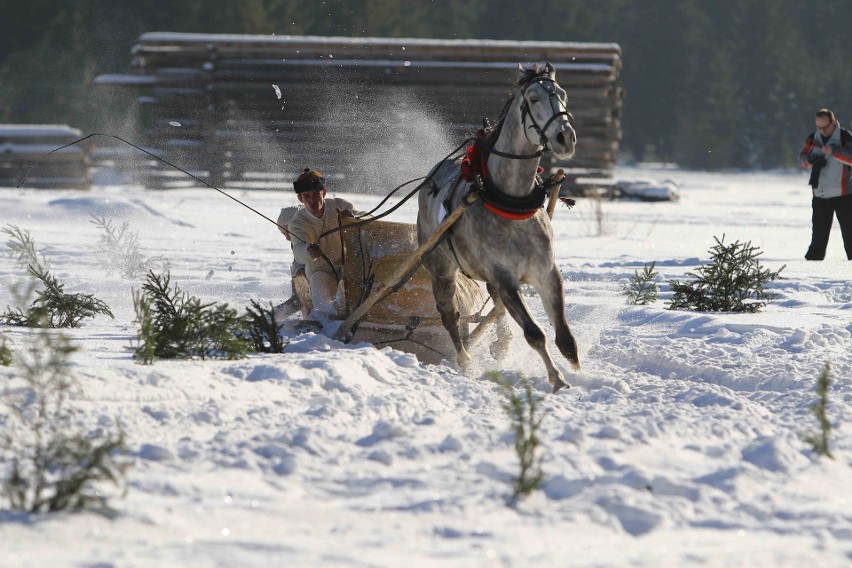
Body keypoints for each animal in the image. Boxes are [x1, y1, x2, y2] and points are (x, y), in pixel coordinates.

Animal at [418, 61, 580, 390]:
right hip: (440, 267)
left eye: (563, 95)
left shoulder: (546, 272)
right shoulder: (504, 276)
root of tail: (432, 175)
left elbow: (565, 338)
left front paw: (579, 372)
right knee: (450, 315)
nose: (564, 137)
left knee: (495, 308)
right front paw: (556, 379)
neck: (510, 201)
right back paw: (465, 360)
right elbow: (535, 333)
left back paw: (500, 344)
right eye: (533, 98)